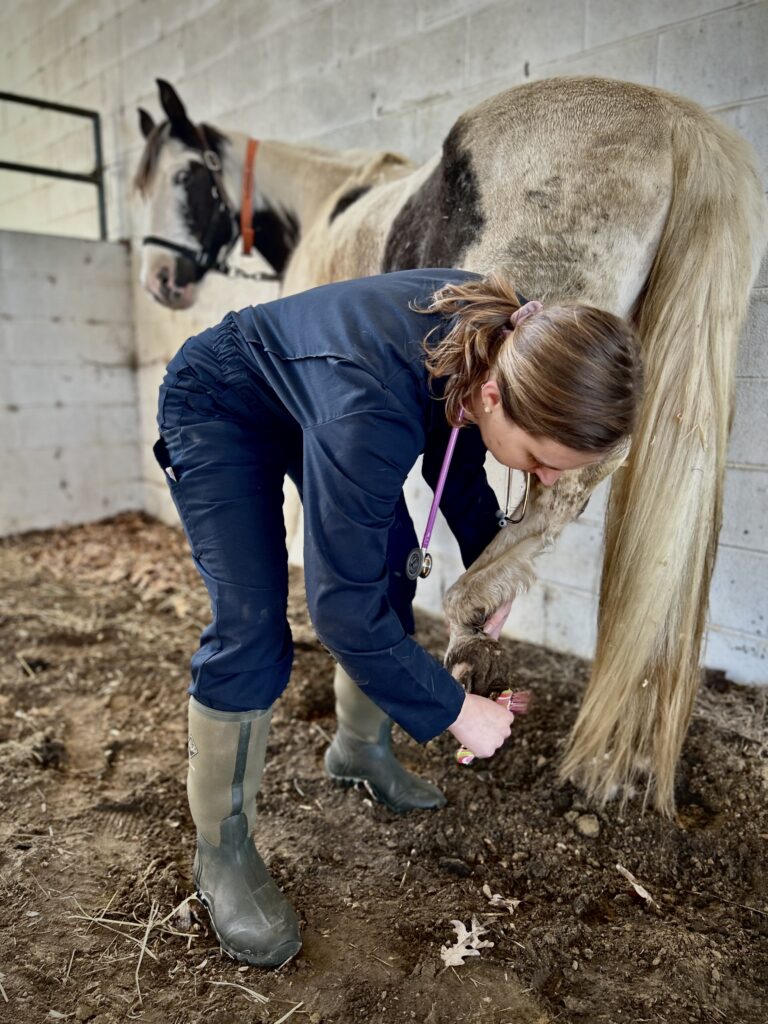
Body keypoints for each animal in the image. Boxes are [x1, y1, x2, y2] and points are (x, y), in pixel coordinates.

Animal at [135, 75, 765, 815]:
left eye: (183, 175)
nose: (161, 281)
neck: (329, 202)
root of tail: (678, 122)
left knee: (574, 483)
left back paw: (470, 611)